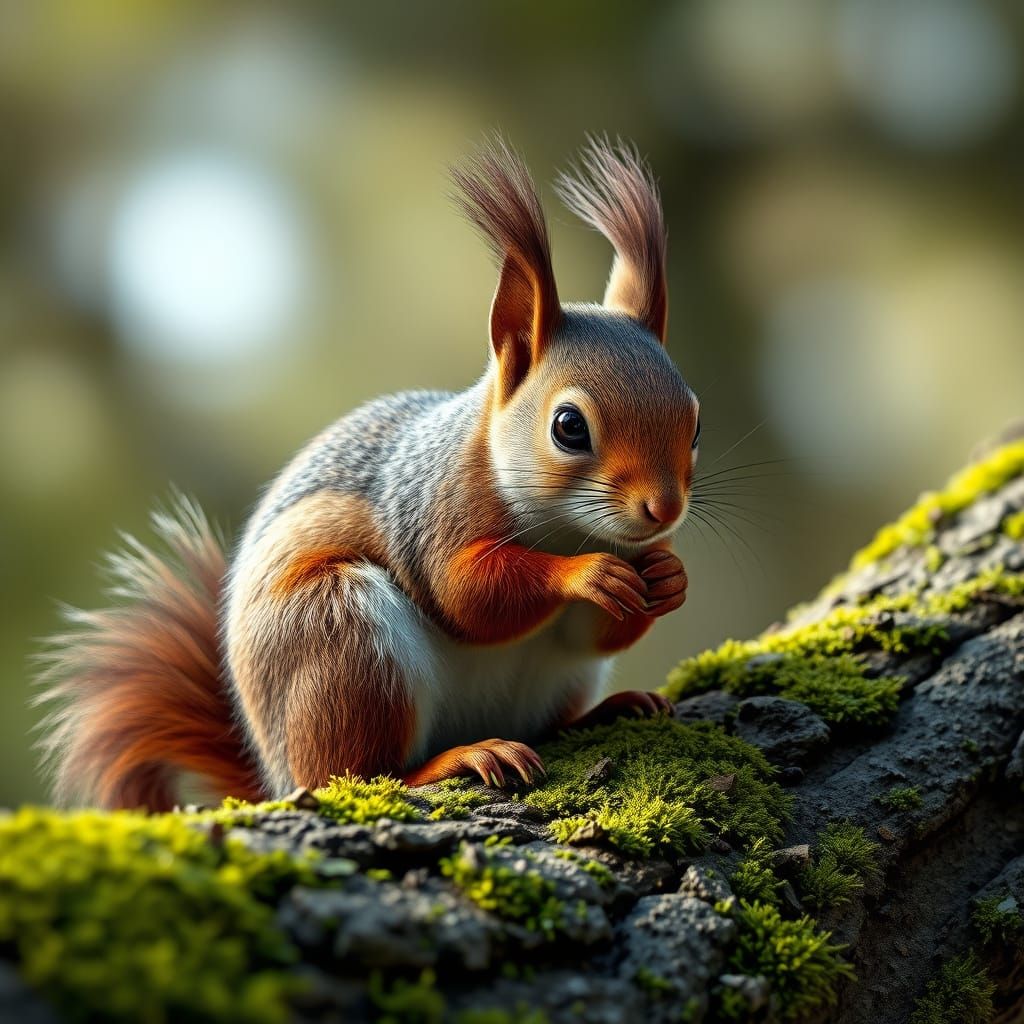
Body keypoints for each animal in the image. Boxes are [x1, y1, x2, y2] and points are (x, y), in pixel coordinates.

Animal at [36, 136, 700, 810]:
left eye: (695, 423)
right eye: (568, 426)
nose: (664, 511)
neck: (569, 527)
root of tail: (275, 772)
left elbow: (593, 634)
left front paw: (669, 576)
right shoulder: (433, 512)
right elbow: (469, 596)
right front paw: (584, 574)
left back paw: (609, 709)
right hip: (342, 641)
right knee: (356, 771)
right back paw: (459, 758)